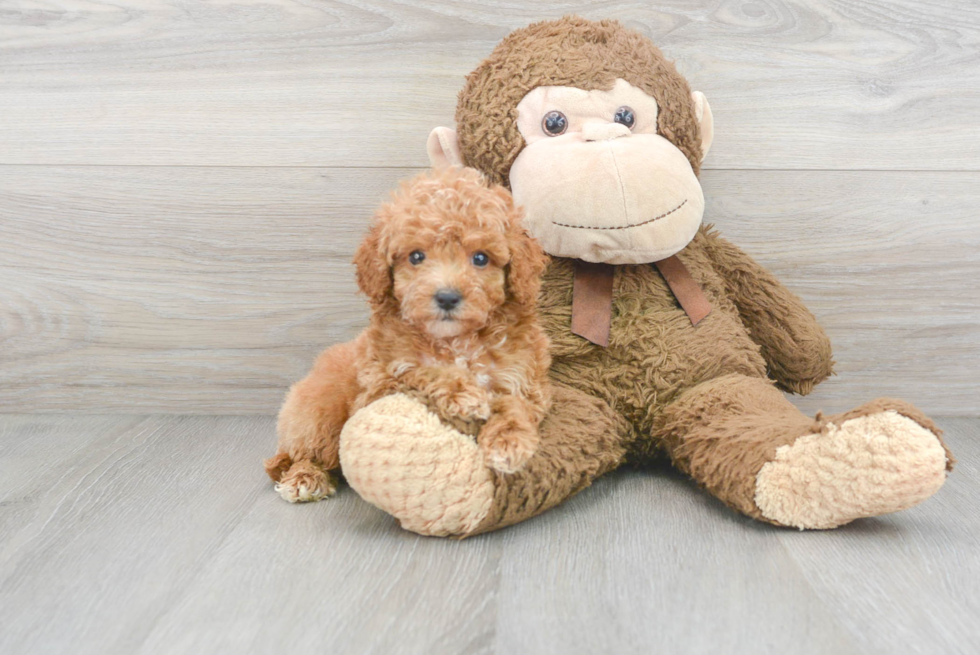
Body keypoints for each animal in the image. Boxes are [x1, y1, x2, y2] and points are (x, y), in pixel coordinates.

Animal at [264, 168, 552, 502]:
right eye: (416, 257)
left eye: (481, 258)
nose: (447, 297)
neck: (456, 342)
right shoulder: (378, 386)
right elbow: (419, 371)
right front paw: (464, 393)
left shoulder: (523, 379)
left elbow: (515, 404)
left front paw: (509, 441)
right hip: (318, 411)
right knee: (304, 453)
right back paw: (305, 478)